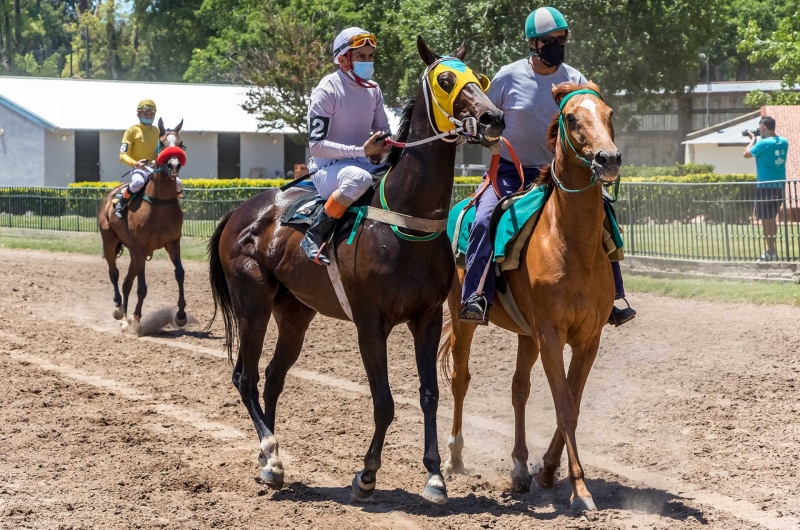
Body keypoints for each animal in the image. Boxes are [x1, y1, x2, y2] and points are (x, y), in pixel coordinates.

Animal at [97, 118, 187, 334]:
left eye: (180, 143)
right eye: (162, 143)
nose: (173, 164)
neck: (159, 203)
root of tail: (109, 197)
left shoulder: (173, 242)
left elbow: (179, 274)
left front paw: (181, 315)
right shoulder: (141, 246)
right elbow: (142, 286)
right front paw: (137, 319)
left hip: (132, 250)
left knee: (126, 282)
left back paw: (124, 320)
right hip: (110, 242)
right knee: (114, 274)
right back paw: (119, 311)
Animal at [208, 38, 506, 504]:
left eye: (480, 77)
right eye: (445, 79)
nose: (493, 118)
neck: (405, 218)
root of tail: (241, 211)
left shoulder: (427, 317)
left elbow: (429, 394)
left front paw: (435, 476)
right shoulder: (370, 322)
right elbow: (384, 401)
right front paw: (366, 475)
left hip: (295, 312)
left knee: (273, 377)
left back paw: (268, 459)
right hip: (252, 304)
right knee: (246, 376)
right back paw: (271, 455)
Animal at [438, 81, 620, 508]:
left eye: (609, 114)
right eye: (572, 118)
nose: (608, 158)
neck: (571, 244)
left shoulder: (588, 338)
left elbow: (571, 402)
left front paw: (548, 471)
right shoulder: (551, 334)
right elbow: (565, 406)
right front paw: (580, 490)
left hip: (527, 335)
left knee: (519, 390)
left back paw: (520, 469)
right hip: (463, 319)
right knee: (460, 377)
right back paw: (455, 457)